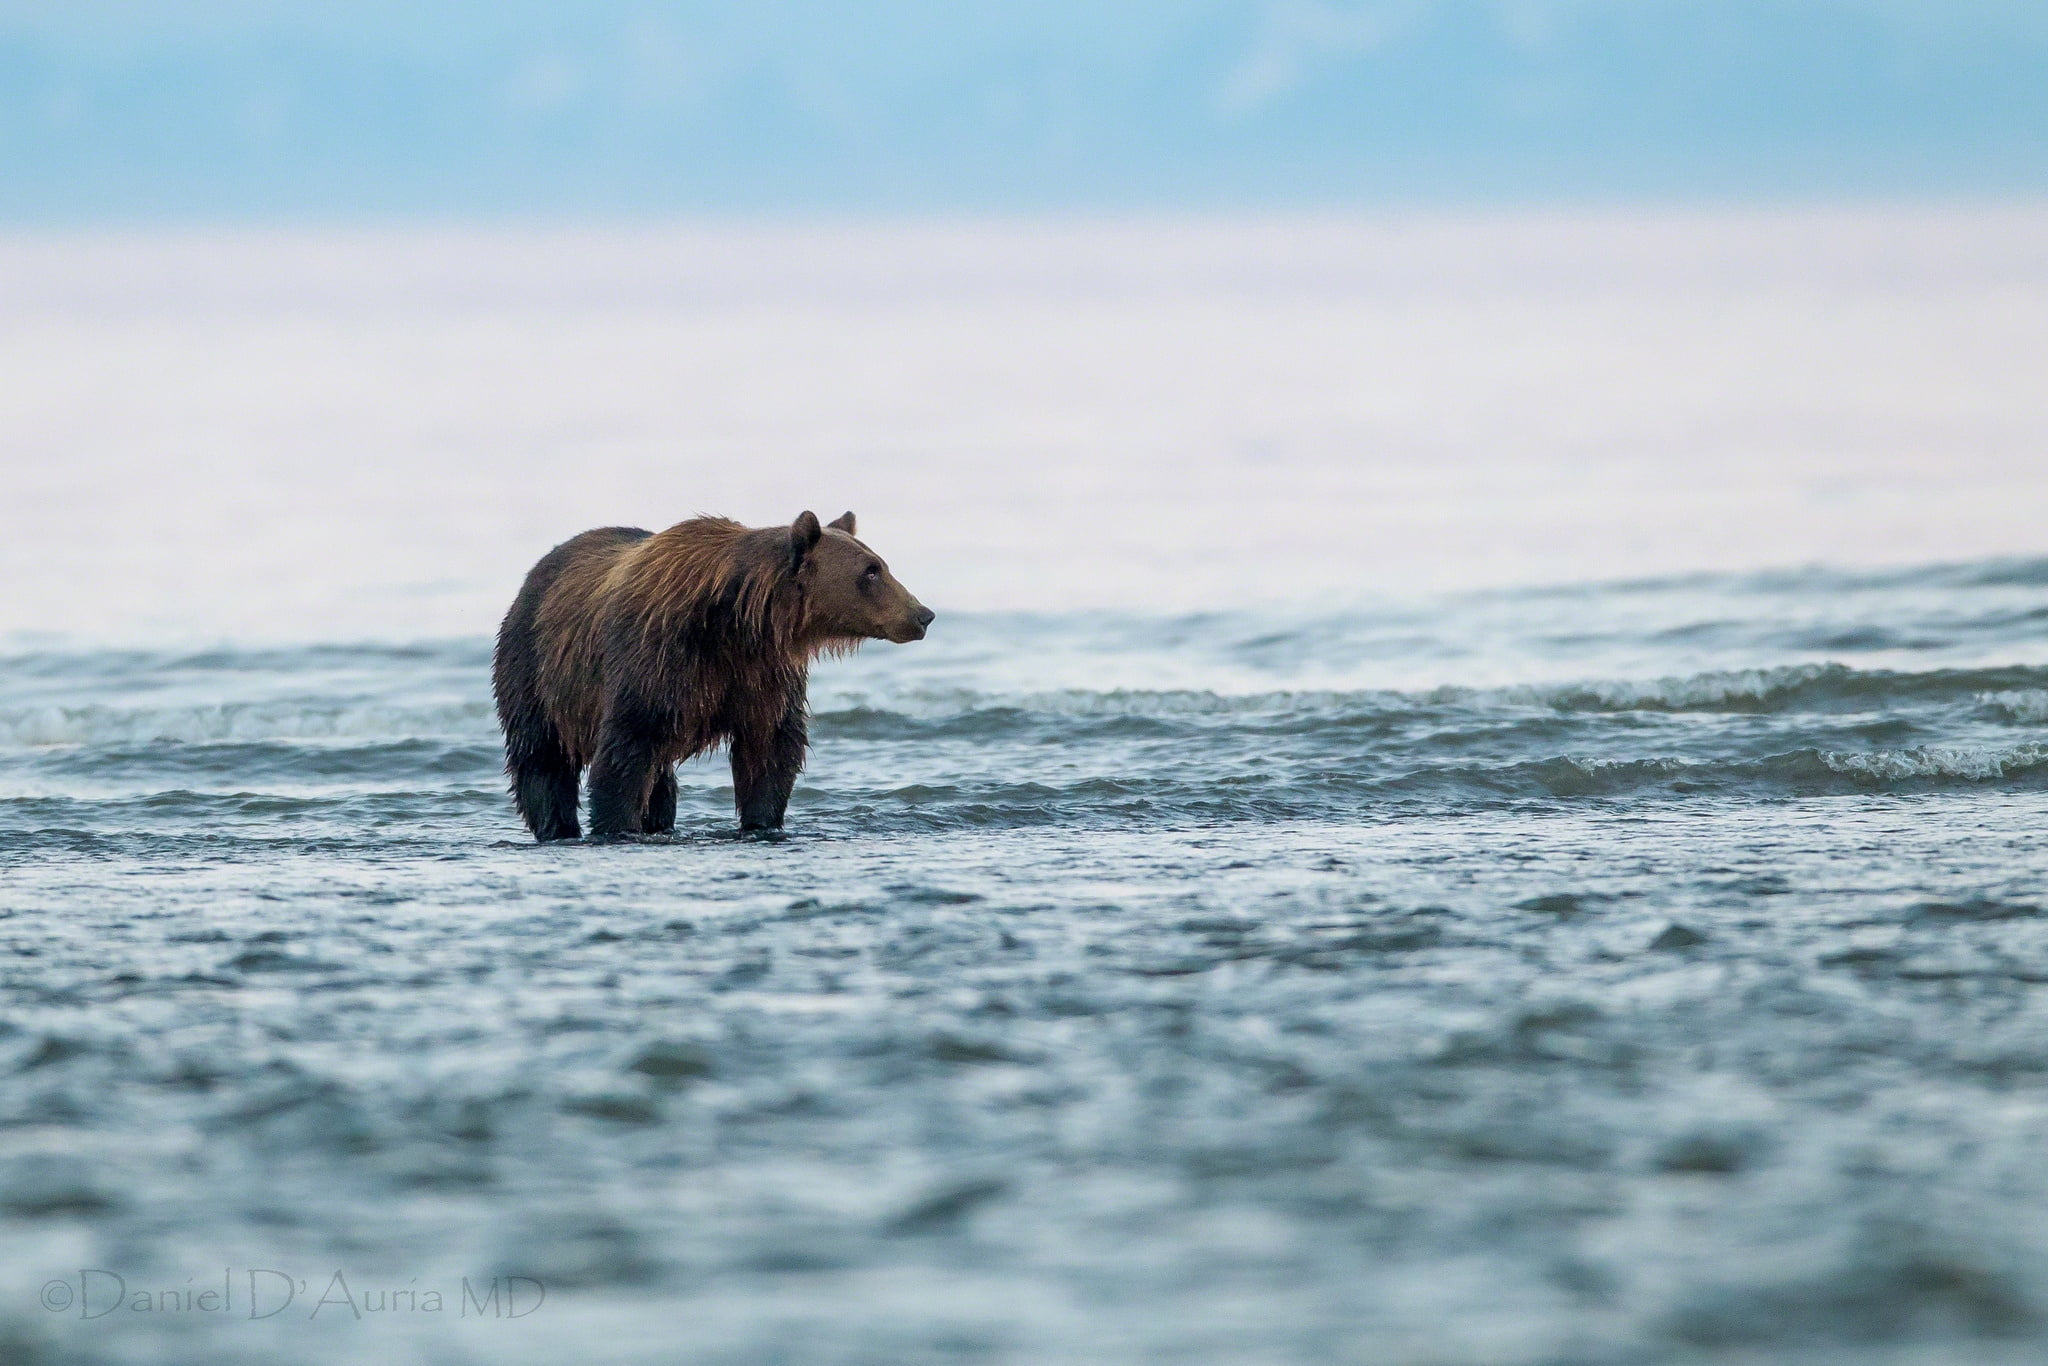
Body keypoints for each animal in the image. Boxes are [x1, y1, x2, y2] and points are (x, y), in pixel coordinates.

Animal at [492, 510, 932, 841]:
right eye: (871, 571)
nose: (923, 613)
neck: (737, 620)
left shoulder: (761, 673)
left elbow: (770, 749)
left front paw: (762, 822)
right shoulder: (657, 659)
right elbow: (625, 750)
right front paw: (616, 825)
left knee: (660, 779)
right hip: (533, 663)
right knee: (541, 756)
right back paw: (556, 825)